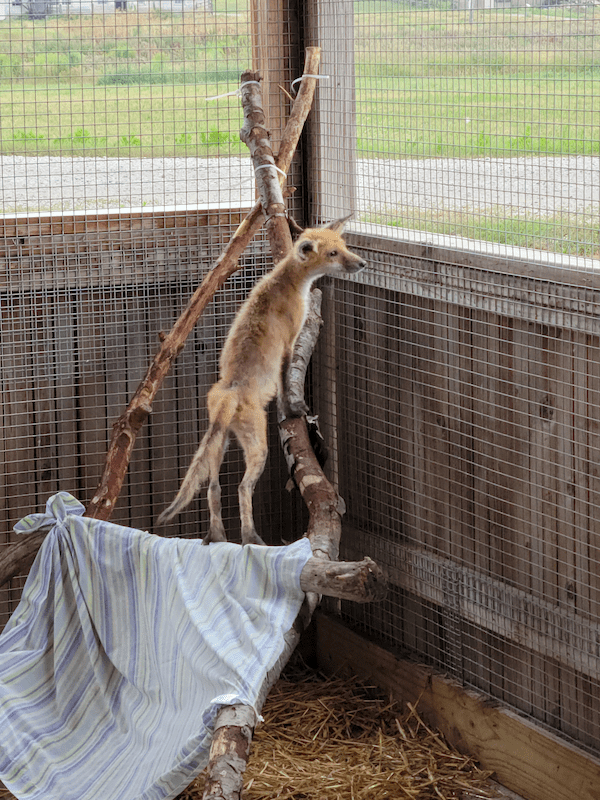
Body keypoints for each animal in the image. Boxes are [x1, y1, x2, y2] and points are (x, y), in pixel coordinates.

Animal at [156, 216, 366, 548]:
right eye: (333, 253)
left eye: (344, 246)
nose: (361, 263)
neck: (287, 283)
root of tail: (229, 391)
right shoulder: (289, 344)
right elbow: (286, 383)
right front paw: (294, 410)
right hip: (257, 449)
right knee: (242, 488)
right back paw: (250, 537)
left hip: (220, 443)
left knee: (213, 488)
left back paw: (216, 537)